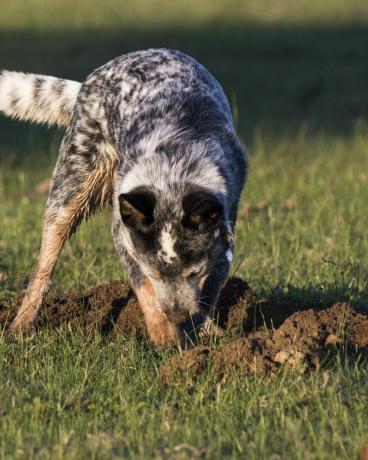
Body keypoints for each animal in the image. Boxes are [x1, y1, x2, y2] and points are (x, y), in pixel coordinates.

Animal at [0, 48, 247, 346]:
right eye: (153, 272)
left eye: (194, 273)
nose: (176, 315)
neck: (174, 167)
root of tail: (89, 80)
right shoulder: (124, 236)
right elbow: (145, 289)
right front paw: (165, 336)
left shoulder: (224, 235)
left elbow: (210, 290)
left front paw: (202, 334)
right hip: (71, 188)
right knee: (44, 267)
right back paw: (20, 325)